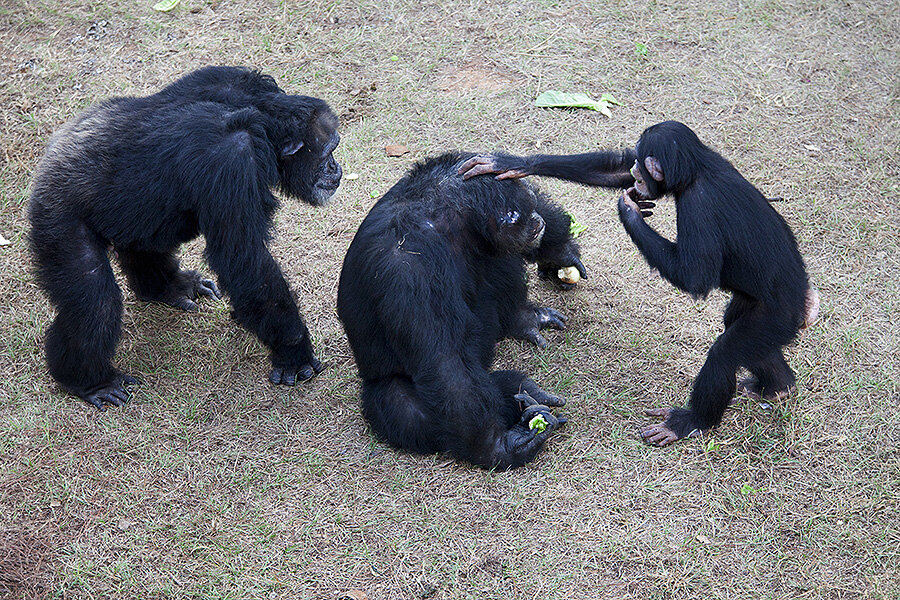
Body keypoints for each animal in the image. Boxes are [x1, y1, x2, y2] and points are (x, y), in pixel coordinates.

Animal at [28, 67, 342, 412]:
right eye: (328, 151)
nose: (335, 168)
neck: (260, 117)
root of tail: (48, 161)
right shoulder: (233, 161)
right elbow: (245, 262)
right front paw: (294, 353)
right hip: (58, 219)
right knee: (94, 303)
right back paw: (88, 381)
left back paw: (169, 286)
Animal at [338, 152, 584, 472]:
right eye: (526, 216)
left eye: (533, 205)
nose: (539, 221)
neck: (449, 223)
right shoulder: (408, 273)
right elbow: (446, 365)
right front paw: (498, 447)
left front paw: (559, 252)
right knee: (403, 405)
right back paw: (517, 392)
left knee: (499, 261)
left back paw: (522, 322)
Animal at [460, 120, 820, 446]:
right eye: (636, 162)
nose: (636, 167)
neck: (696, 172)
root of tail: (806, 305)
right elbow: (612, 169)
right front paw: (511, 163)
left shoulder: (699, 208)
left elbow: (696, 275)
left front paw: (629, 209)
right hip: (757, 307)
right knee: (737, 325)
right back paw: (778, 386)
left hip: (775, 318)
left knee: (725, 354)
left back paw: (688, 423)